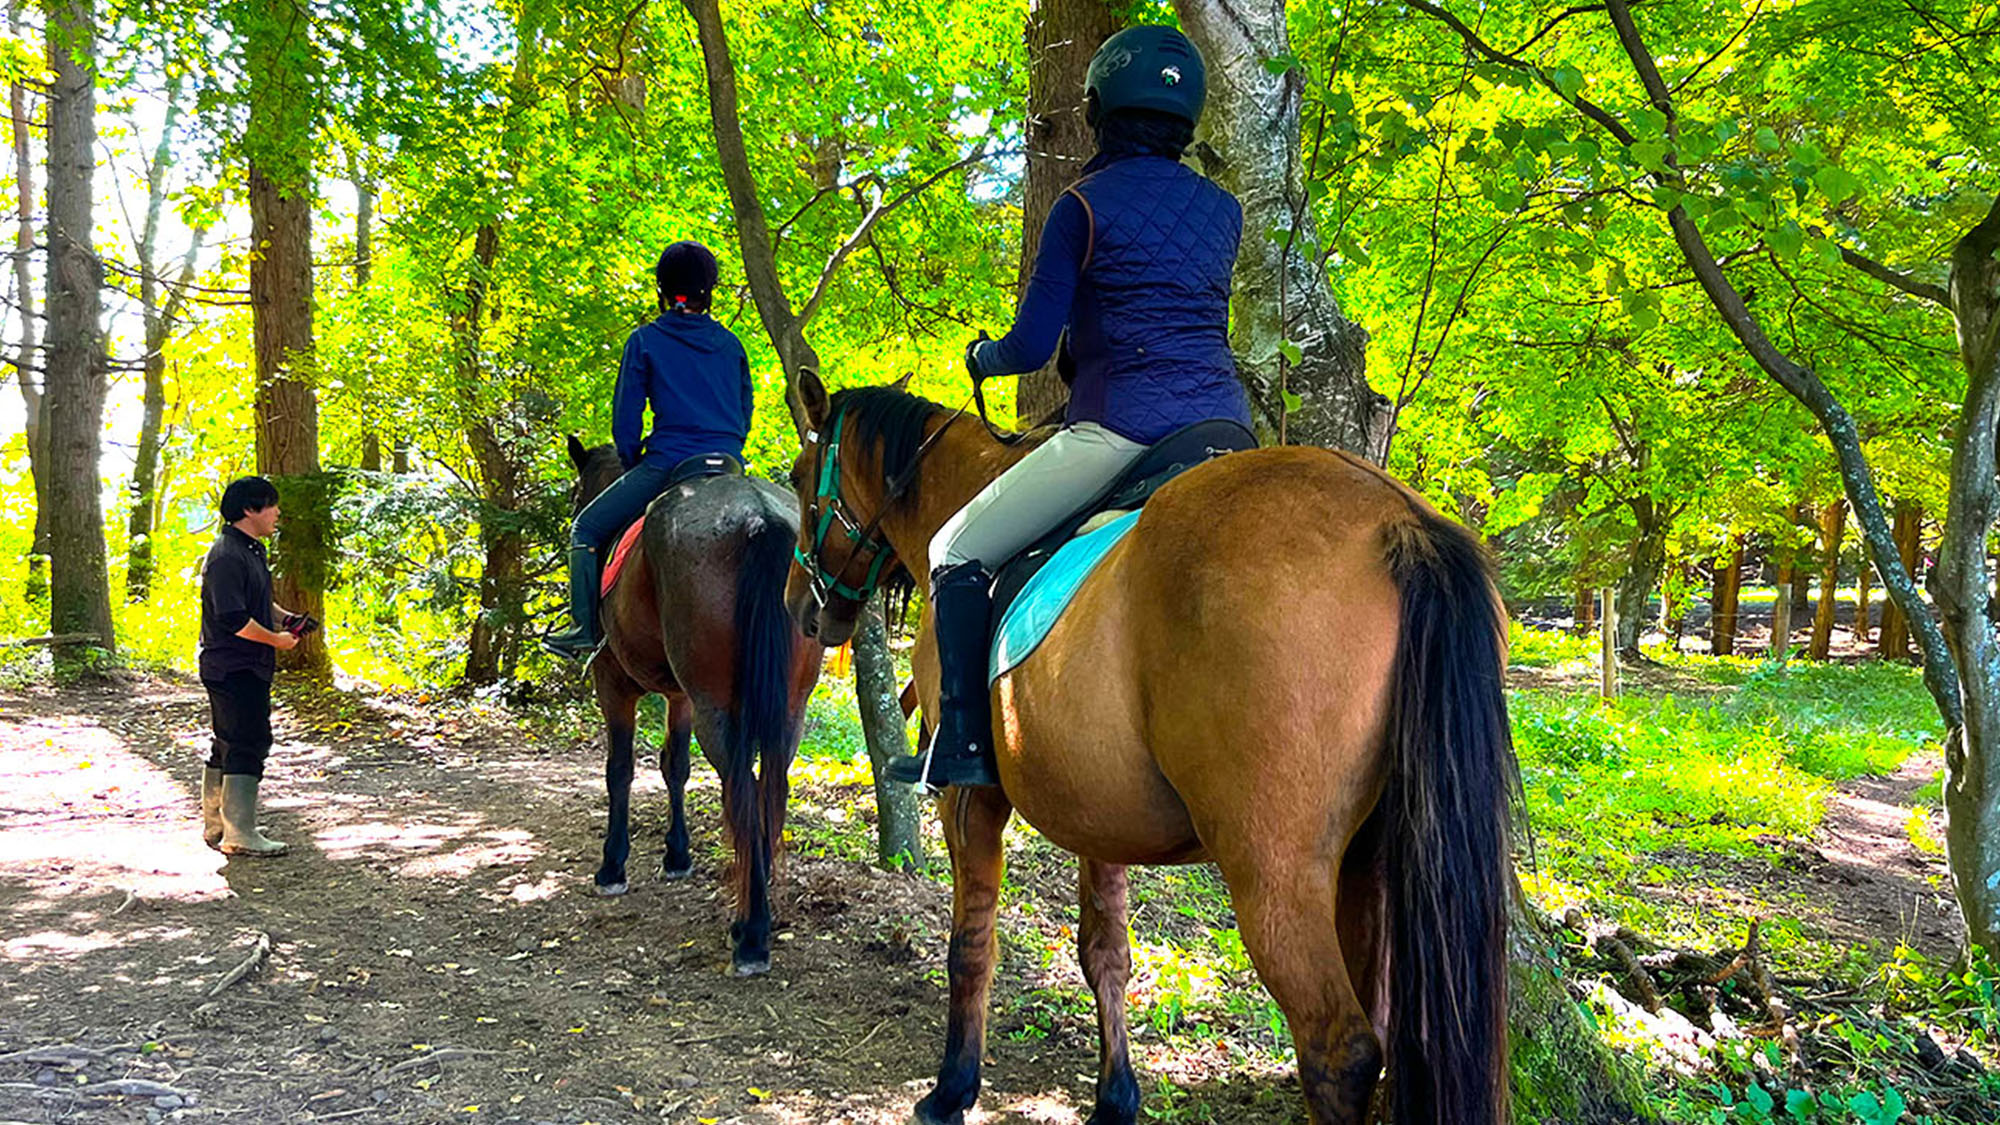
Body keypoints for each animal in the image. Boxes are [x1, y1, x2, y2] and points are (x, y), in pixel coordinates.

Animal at [564, 438, 820, 972]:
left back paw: (750, 932)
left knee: (740, 788)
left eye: (578, 495)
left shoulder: (612, 683)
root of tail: (759, 516)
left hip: (716, 709)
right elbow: (674, 767)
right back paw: (760, 906)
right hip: (789, 709)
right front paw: (676, 856)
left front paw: (612, 865)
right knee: (771, 786)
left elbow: (619, 770)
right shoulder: (680, 697)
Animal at [780, 376, 1512, 1120]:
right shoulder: (1097, 811)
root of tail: (1395, 520)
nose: (800, 609)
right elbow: (1105, 951)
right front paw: (1115, 1097)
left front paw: (953, 1085)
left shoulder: (969, 799)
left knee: (1341, 1050)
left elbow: (971, 943)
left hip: (1275, 870)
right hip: (1374, 859)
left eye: (799, 478)